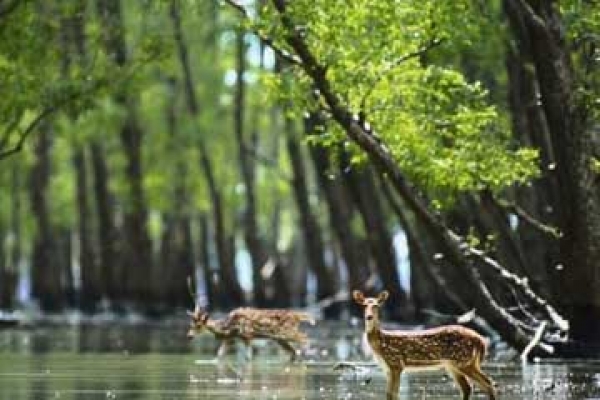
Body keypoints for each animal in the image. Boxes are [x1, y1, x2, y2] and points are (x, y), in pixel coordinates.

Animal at [352, 290, 496, 400]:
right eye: (364, 305)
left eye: (376, 305)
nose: (369, 317)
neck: (380, 344)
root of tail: (480, 339)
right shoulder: (387, 369)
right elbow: (390, 394)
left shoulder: (396, 364)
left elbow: (392, 394)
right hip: (455, 364)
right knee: (468, 387)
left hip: (463, 361)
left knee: (487, 383)